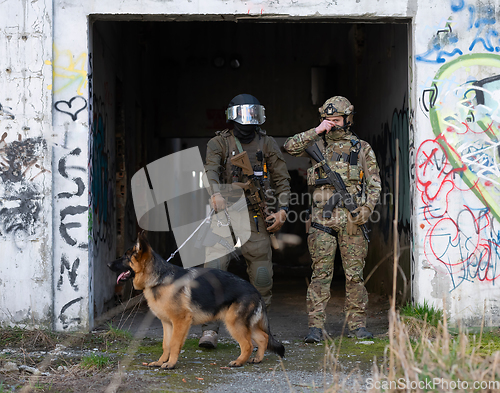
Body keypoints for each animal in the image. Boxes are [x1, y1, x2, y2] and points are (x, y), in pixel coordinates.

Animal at [107, 231, 284, 370]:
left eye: (125, 257)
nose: (107, 264)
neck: (159, 278)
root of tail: (255, 290)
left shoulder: (181, 321)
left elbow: (174, 343)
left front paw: (170, 364)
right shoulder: (167, 323)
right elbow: (166, 344)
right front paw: (161, 361)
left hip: (234, 323)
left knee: (248, 344)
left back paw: (239, 362)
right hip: (245, 324)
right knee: (263, 337)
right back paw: (257, 359)